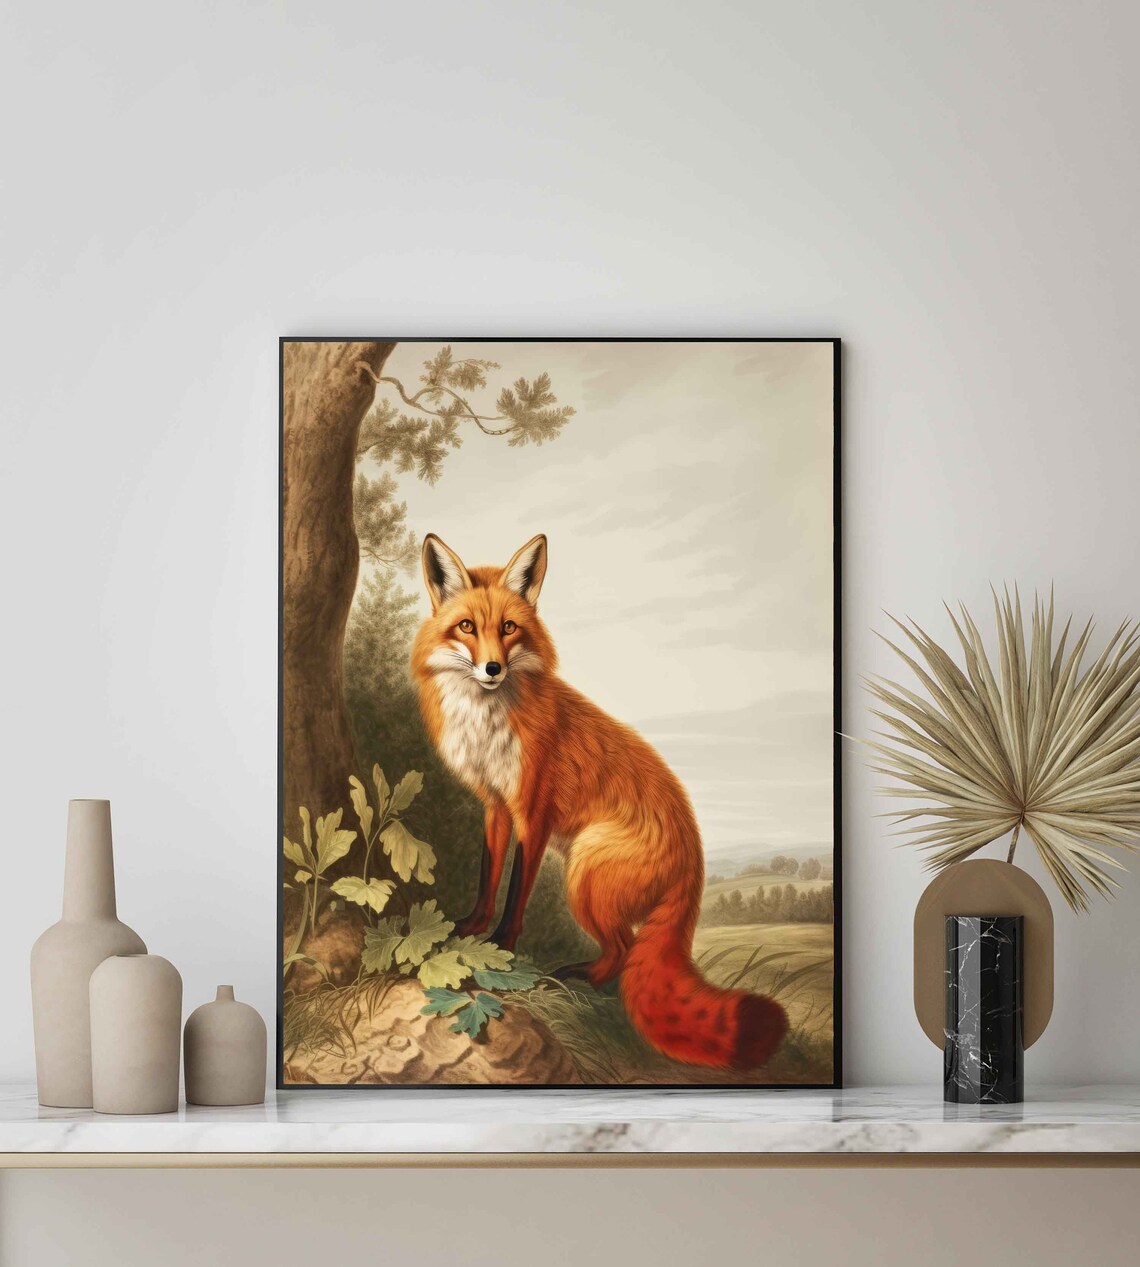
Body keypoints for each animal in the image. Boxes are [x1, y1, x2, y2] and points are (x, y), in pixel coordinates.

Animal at [410, 532, 788, 1071]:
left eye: (508, 628)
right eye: (467, 627)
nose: (492, 668)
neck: (487, 722)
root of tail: (696, 858)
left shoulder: (534, 812)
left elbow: (516, 893)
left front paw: (503, 947)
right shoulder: (496, 806)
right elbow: (488, 876)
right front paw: (470, 929)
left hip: (584, 873)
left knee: (625, 952)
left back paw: (576, 978)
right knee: (625, 951)